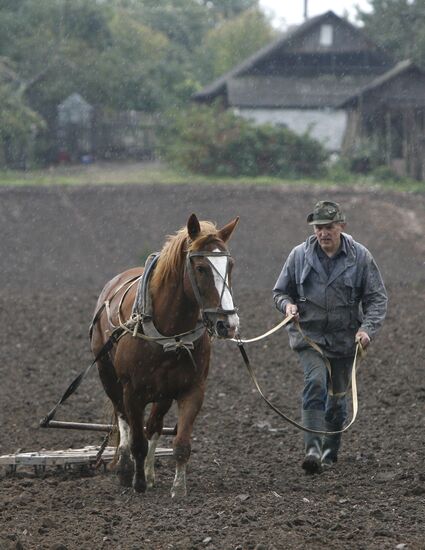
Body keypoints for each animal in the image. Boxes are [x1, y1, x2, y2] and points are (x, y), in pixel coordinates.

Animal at [90, 213, 238, 498]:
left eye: (230, 266)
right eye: (201, 268)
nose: (229, 323)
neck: (171, 333)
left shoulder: (192, 389)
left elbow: (180, 443)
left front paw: (178, 489)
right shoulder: (132, 392)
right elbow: (136, 439)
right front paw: (137, 482)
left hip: (163, 393)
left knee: (154, 425)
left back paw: (148, 473)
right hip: (108, 376)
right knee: (124, 419)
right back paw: (126, 467)